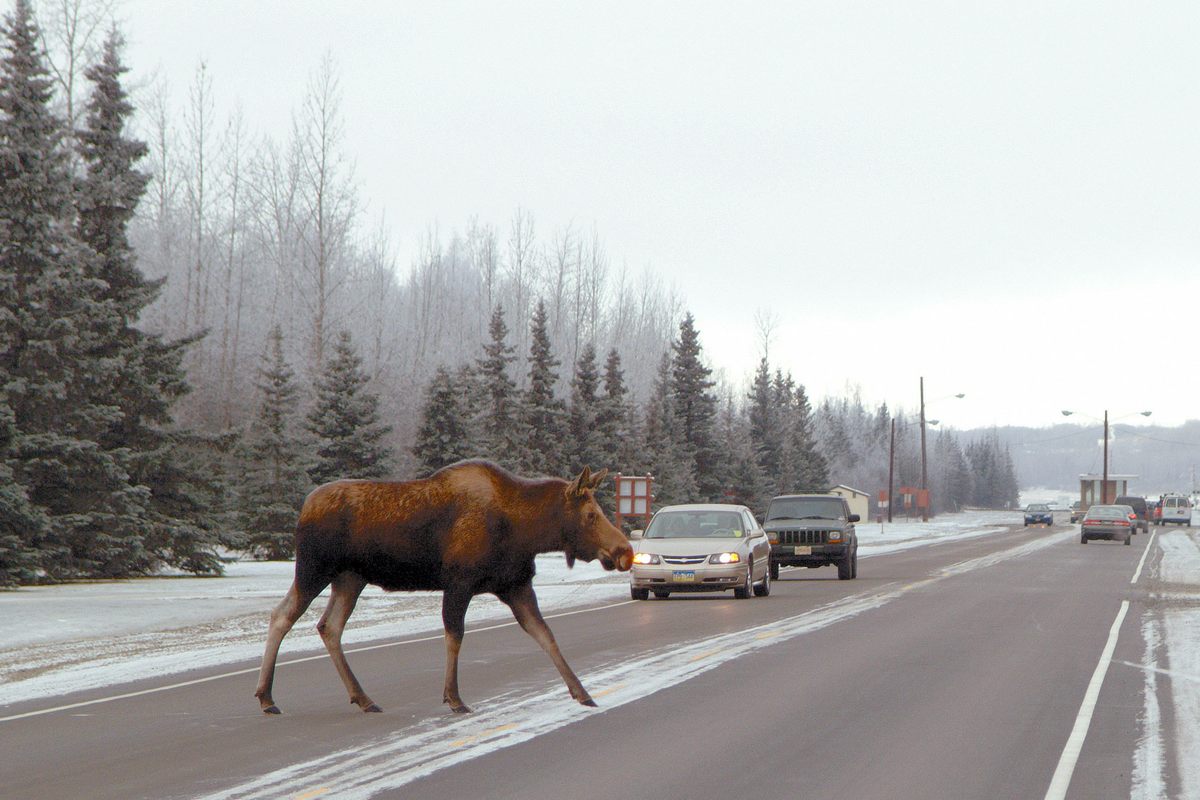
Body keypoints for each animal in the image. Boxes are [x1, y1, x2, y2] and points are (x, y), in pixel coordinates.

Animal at [249, 460, 633, 714]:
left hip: (350, 579)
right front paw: (455, 698)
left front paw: (582, 692)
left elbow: (546, 635)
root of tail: (304, 507)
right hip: (314, 569)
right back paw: (267, 697)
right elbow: (454, 635)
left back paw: (364, 698)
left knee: (329, 626)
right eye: (591, 515)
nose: (625, 551)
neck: (526, 530)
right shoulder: (459, 583)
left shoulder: (516, 586)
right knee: (282, 615)